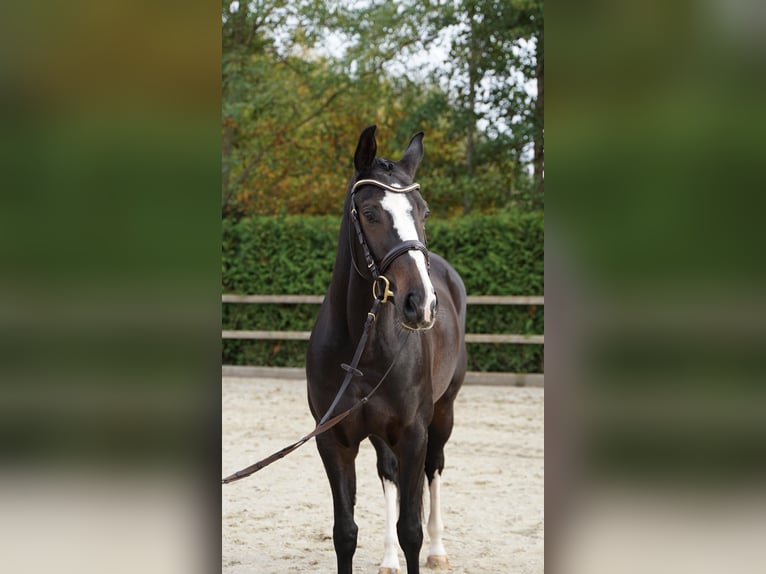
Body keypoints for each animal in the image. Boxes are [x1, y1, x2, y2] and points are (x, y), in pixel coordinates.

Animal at [306, 125, 467, 574]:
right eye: (370, 213)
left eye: (423, 212)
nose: (421, 303)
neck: (364, 346)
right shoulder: (333, 441)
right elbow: (345, 533)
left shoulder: (413, 433)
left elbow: (410, 528)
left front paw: (421, 546)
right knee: (389, 473)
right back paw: (388, 558)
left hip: (443, 413)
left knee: (435, 469)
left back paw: (438, 550)